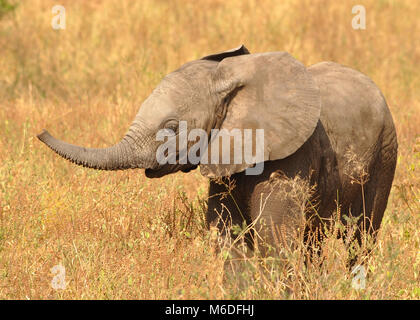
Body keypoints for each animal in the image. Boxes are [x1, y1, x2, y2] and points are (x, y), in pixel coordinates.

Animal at [38, 44, 398, 264]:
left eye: (171, 127)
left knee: (361, 236)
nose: (40, 131)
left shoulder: (292, 156)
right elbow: (228, 237)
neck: (230, 80)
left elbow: (274, 237)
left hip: (385, 154)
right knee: (315, 241)